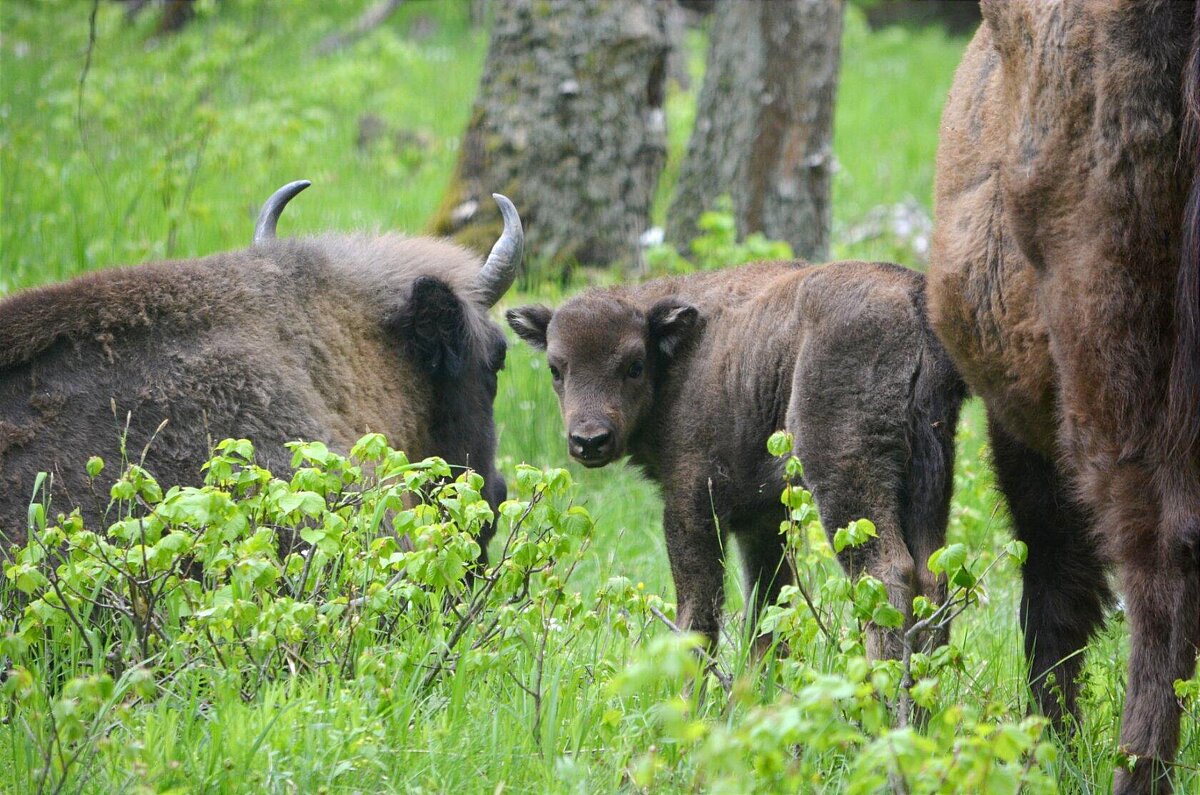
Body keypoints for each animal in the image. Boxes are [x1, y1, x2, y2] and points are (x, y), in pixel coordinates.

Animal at [506, 260, 964, 658]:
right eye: (556, 368)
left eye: (634, 365)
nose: (589, 441)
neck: (678, 359)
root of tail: (913, 299)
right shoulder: (761, 520)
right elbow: (765, 620)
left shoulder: (694, 504)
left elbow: (699, 618)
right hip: (930, 475)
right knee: (932, 578)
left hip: (845, 478)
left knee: (888, 574)